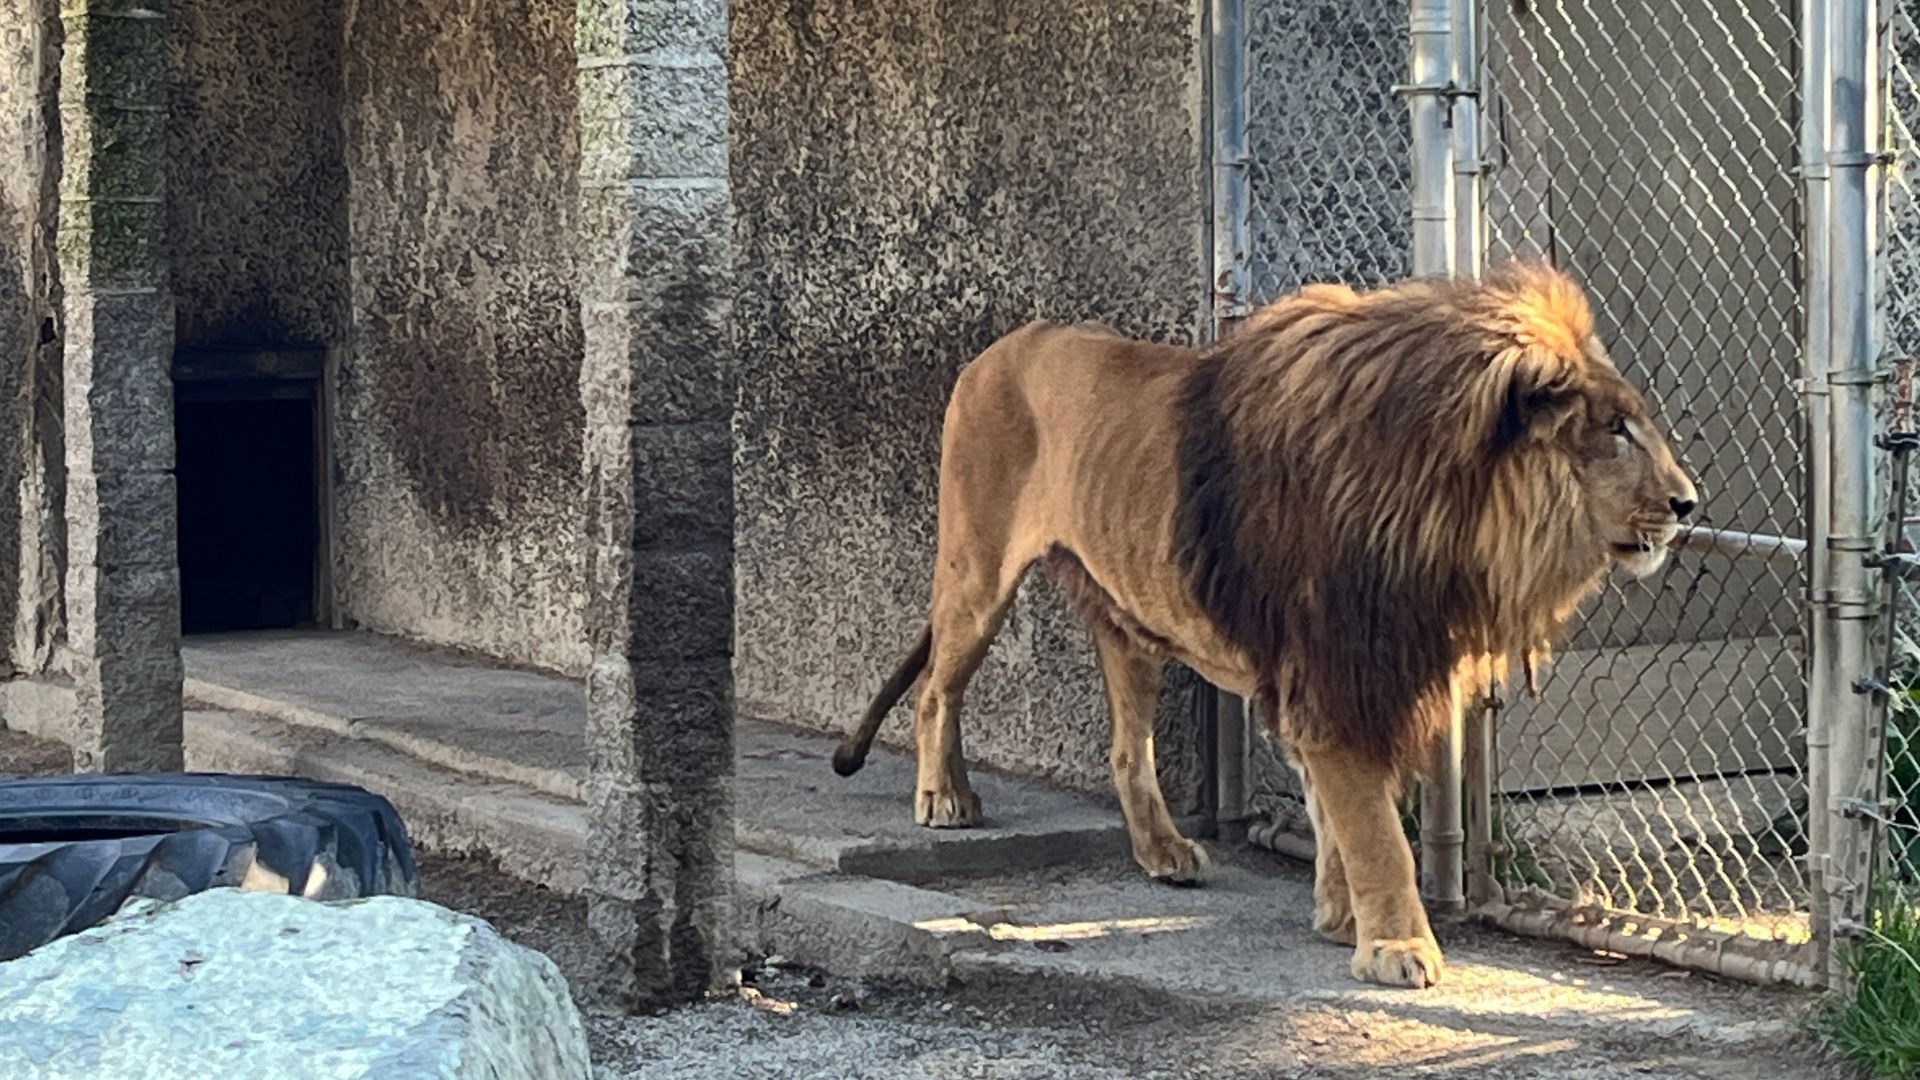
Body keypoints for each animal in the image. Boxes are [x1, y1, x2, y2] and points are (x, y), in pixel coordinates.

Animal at [831, 263, 1698, 989]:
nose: (1689, 503)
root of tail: (1006, 344)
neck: (1449, 514)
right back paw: (945, 796)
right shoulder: (1337, 664)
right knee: (937, 690)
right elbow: (1373, 827)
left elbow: (1334, 811)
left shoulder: (1350, 668)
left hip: (1128, 616)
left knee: (1126, 748)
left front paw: (1342, 916)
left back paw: (1163, 852)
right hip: (976, 575)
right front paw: (1397, 944)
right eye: (1616, 429)